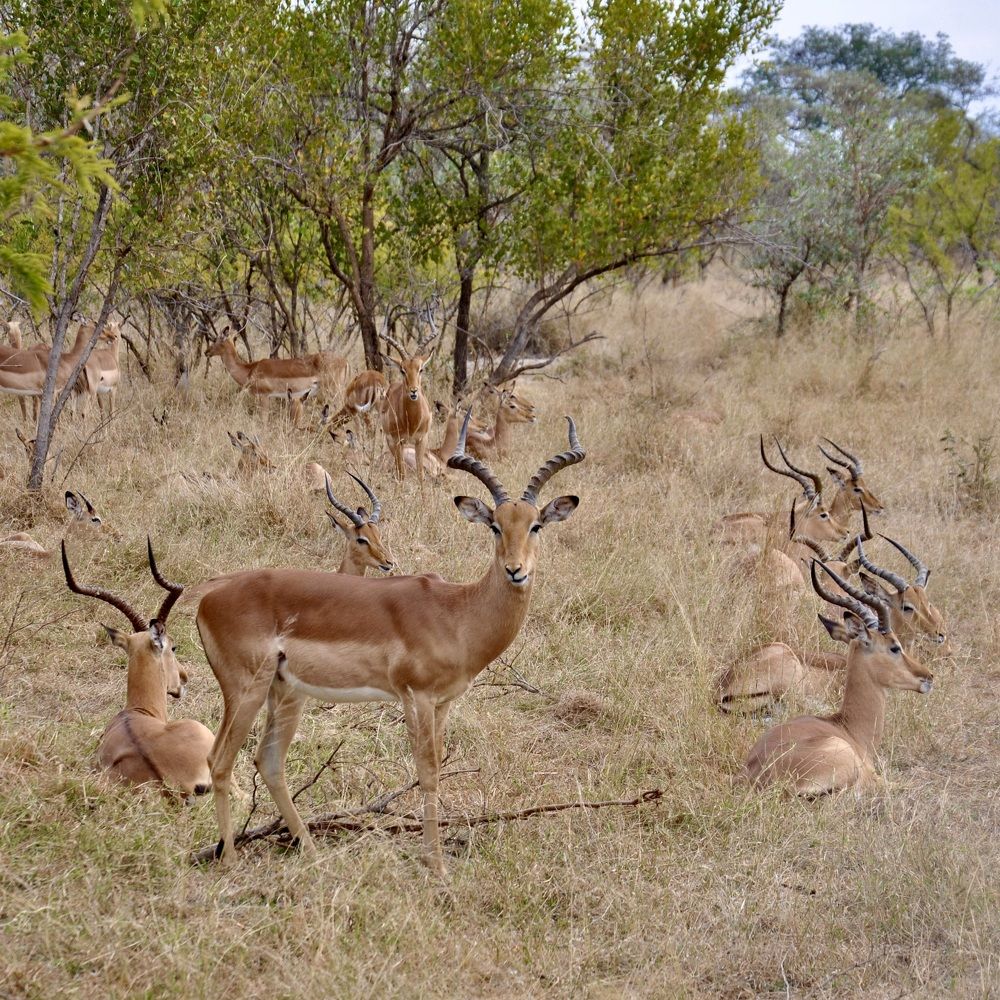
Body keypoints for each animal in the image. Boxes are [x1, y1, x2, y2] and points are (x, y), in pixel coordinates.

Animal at [195, 413, 585, 872]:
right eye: (495, 525)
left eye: (536, 525)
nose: (515, 570)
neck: (459, 612)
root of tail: (206, 601)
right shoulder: (415, 697)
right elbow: (428, 771)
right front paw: (436, 864)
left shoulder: (443, 703)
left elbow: (433, 767)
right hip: (246, 691)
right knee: (219, 761)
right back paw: (231, 860)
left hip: (286, 693)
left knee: (269, 762)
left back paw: (312, 853)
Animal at [380, 351, 433, 481]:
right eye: (402, 370)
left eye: (420, 369)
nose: (413, 391)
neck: (412, 422)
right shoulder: (397, 441)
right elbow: (402, 474)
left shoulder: (421, 440)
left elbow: (420, 474)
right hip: (393, 444)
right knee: (399, 469)